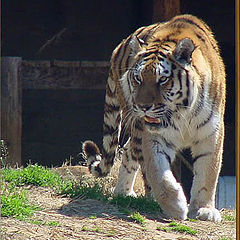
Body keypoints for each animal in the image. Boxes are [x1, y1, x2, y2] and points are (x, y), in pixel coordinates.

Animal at [82, 14, 225, 222]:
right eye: (138, 78)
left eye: (162, 80)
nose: (143, 106)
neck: (183, 114)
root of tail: (120, 46)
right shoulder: (154, 136)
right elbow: (158, 172)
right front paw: (175, 206)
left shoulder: (211, 133)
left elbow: (208, 172)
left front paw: (203, 209)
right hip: (135, 126)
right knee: (134, 154)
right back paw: (141, 196)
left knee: (127, 151)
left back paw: (124, 192)